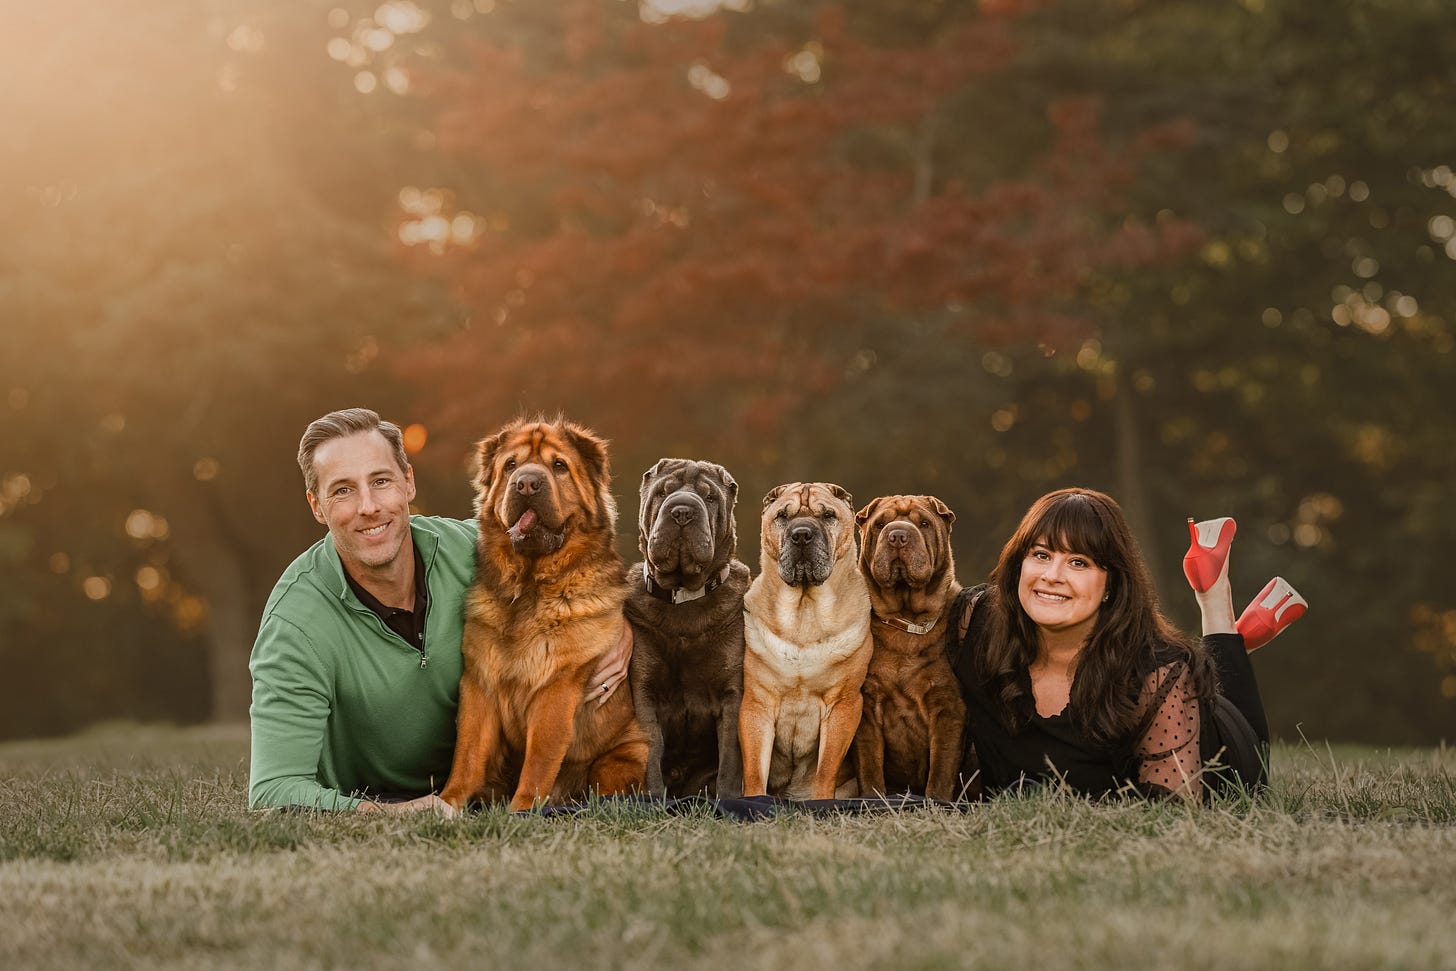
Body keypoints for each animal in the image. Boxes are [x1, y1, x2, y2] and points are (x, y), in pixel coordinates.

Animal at [433, 419, 646, 815]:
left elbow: (539, 759)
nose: (527, 483)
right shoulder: (479, 684)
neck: (529, 588)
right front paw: (447, 803)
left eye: (559, 466)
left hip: (617, 761)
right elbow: (467, 754)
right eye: (510, 466)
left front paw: (521, 810)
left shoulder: (555, 689)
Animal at [623, 460, 751, 803]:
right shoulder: (645, 693)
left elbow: (731, 758)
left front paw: (728, 800)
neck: (683, 597)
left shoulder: (732, 695)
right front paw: (653, 799)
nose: (682, 511)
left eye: (709, 497)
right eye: (663, 492)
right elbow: (651, 750)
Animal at [745, 483, 867, 803]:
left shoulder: (843, 704)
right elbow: (754, 769)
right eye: (782, 516)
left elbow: (826, 768)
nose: (801, 534)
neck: (805, 611)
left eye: (828, 515)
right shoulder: (757, 703)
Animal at [850, 497, 966, 803]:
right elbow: (869, 765)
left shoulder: (947, 708)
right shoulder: (867, 709)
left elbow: (941, 770)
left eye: (924, 523)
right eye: (880, 524)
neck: (906, 621)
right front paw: (875, 801)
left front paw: (936, 802)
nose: (898, 536)